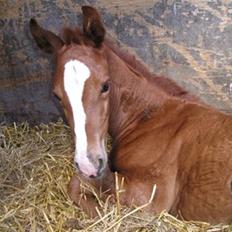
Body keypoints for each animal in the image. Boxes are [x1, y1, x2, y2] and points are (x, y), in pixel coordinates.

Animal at [29, 5, 232, 223]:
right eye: (56, 95)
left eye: (105, 85)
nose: (88, 164)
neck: (148, 117)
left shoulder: (150, 196)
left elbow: (79, 185)